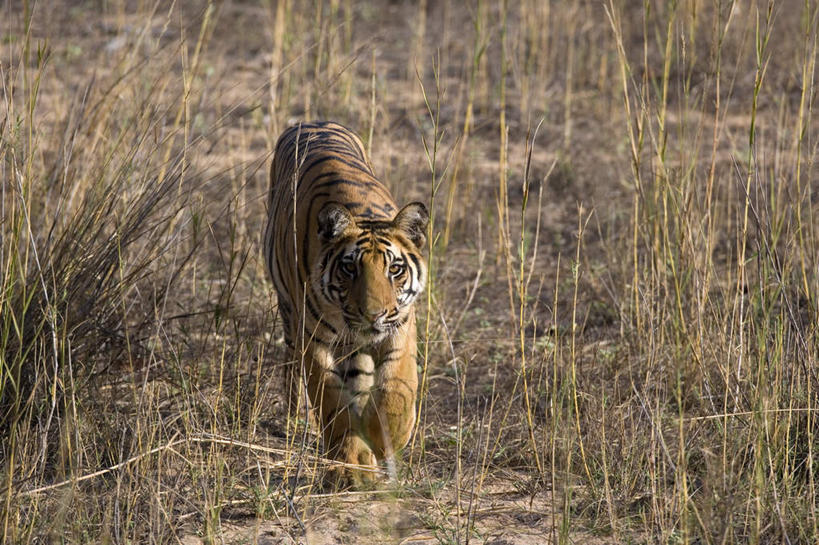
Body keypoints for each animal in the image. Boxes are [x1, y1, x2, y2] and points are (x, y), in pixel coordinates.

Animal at [264, 120, 430, 484]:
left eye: (394, 269)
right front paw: (350, 463)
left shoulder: (400, 328)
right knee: (293, 371)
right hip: (289, 316)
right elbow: (332, 404)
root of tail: (314, 120)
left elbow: (397, 390)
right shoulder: (314, 339)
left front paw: (386, 438)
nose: (373, 315)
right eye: (349, 268)